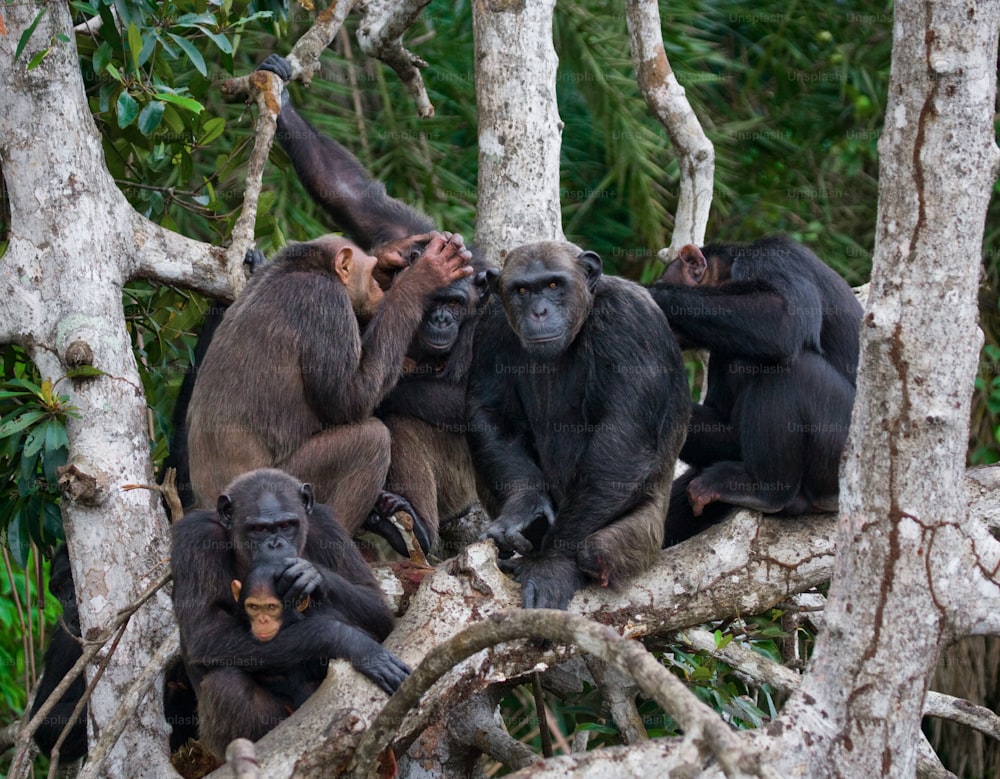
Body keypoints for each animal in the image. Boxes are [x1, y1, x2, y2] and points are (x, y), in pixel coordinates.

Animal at [172, 466, 410, 760]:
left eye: (286, 525)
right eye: (258, 529)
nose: (275, 544)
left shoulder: (326, 526)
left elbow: (377, 606)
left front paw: (312, 574)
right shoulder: (196, 539)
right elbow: (206, 632)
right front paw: (350, 641)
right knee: (226, 685)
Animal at [184, 232, 472, 556]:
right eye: (368, 274)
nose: (377, 287)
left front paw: (395, 254)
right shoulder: (327, 303)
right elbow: (349, 398)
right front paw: (423, 277)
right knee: (371, 440)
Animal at [254, 53, 496, 556]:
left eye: (455, 304)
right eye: (434, 301)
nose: (442, 319)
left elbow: (480, 398)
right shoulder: (402, 229)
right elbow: (351, 193)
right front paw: (281, 92)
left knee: (406, 421)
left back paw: (411, 522)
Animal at [466, 241, 688, 612]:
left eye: (554, 284)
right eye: (522, 291)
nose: (539, 311)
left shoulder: (630, 322)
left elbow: (623, 440)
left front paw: (551, 566)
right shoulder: (492, 321)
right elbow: (491, 412)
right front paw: (525, 505)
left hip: (648, 537)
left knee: (597, 550)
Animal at [652, 235, 864, 544]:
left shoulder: (772, 260)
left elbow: (785, 316)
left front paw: (652, 294)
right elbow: (726, 427)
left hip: (843, 455)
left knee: (791, 371)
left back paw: (765, 491)